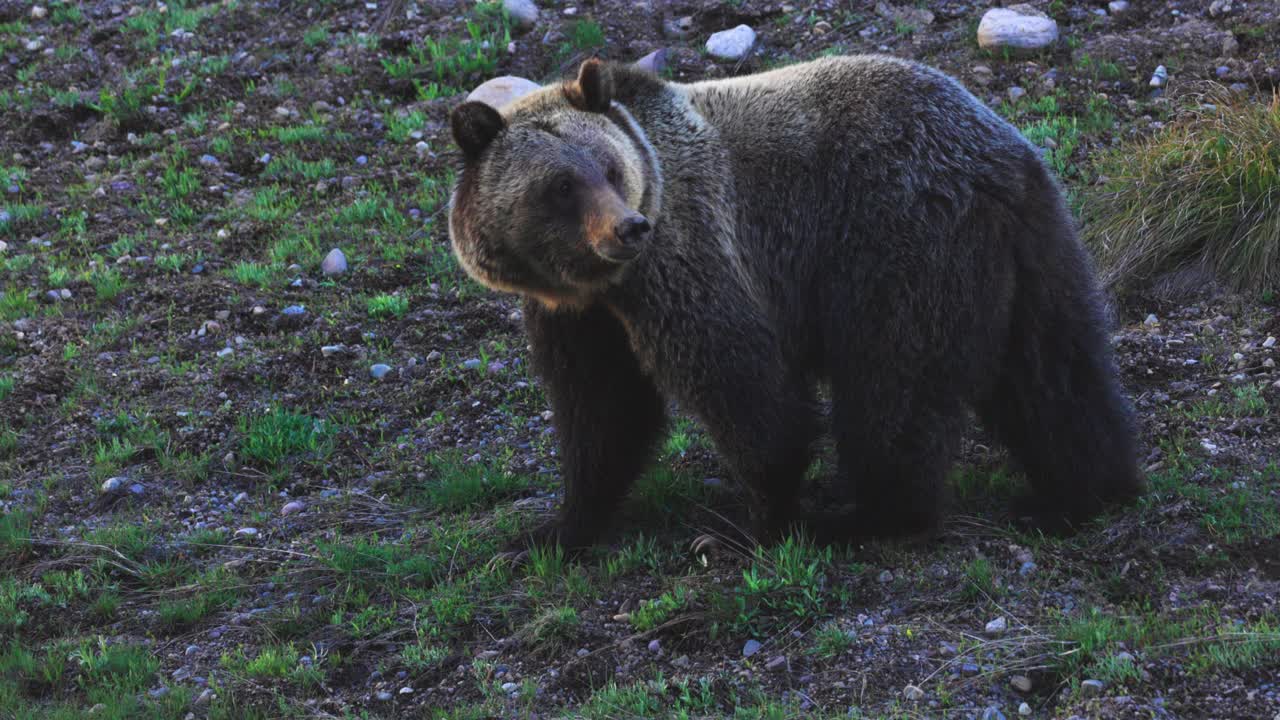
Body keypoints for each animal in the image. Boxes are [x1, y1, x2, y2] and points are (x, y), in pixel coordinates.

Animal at [448, 54, 1141, 548]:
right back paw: (1081, 490)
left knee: (895, 385)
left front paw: (763, 516)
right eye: (561, 185)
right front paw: (556, 528)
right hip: (1036, 249)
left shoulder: (688, 254)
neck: (596, 283)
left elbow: (739, 378)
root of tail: (996, 158)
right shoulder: (580, 317)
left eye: (610, 168)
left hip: (892, 241)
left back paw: (870, 516)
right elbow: (602, 412)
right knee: (1056, 372)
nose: (628, 228)